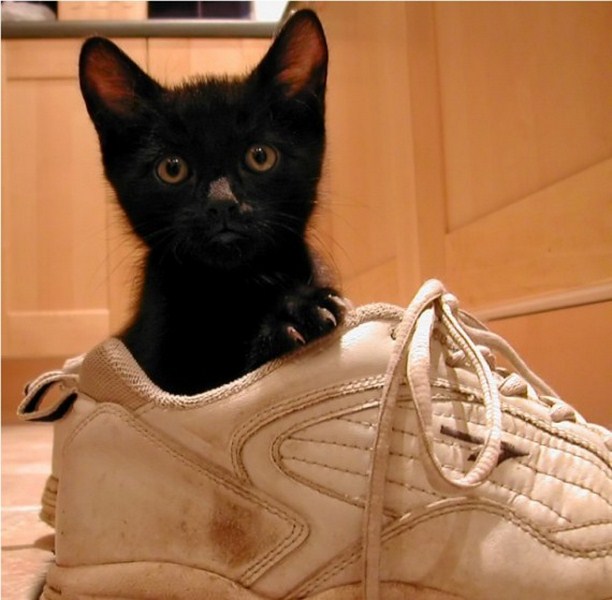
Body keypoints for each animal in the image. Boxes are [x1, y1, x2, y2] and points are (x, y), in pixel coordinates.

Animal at [78, 9, 344, 395]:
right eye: (172, 168)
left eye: (260, 156)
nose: (222, 203)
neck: (231, 287)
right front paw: (294, 318)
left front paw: (299, 312)